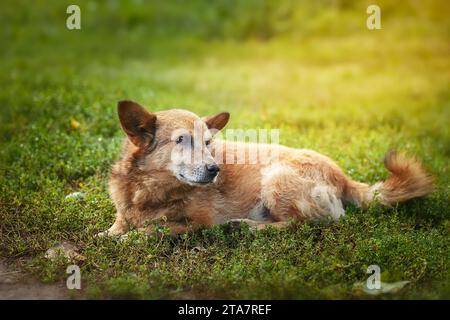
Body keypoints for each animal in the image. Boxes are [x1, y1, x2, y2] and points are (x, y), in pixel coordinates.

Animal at [97, 100, 432, 238]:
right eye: (182, 140)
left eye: (208, 142)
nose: (215, 169)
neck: (149, 191)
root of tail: (342, 176)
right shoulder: (125, 211)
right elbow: (117, 225)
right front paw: (109, 233)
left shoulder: (198, 223)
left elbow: (154, 230)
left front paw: (130, 237)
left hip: (275, 179)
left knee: (305, 224)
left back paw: (248, 226)